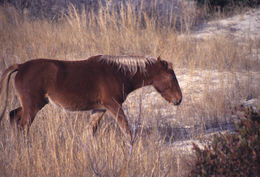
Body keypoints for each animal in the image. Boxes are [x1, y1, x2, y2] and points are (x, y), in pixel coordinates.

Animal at [0, 54, 182, 140]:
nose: (179, 99)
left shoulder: (99, 109)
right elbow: (127, 130)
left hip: (34, 104)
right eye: (171, 76)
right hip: (32, 106)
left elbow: (89, 132)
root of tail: (21, 66)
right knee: (23, 125)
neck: (117, 73)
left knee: (13, 116)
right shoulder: (113, 105)